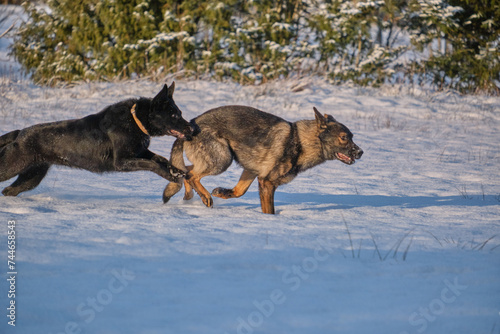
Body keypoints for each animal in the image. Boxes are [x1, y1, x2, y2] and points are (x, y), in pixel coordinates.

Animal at [0, 81, 193, 196]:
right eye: (174, 115)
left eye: (180, 113)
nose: (192, 128)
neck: (136, 120)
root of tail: (20, 133)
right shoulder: (122, 162)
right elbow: (152, 164)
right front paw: (170, 176)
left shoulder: (140, 152)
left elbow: (160, 159)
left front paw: (178, 172)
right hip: (12, 166)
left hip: (32, 176)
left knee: (9, 190)